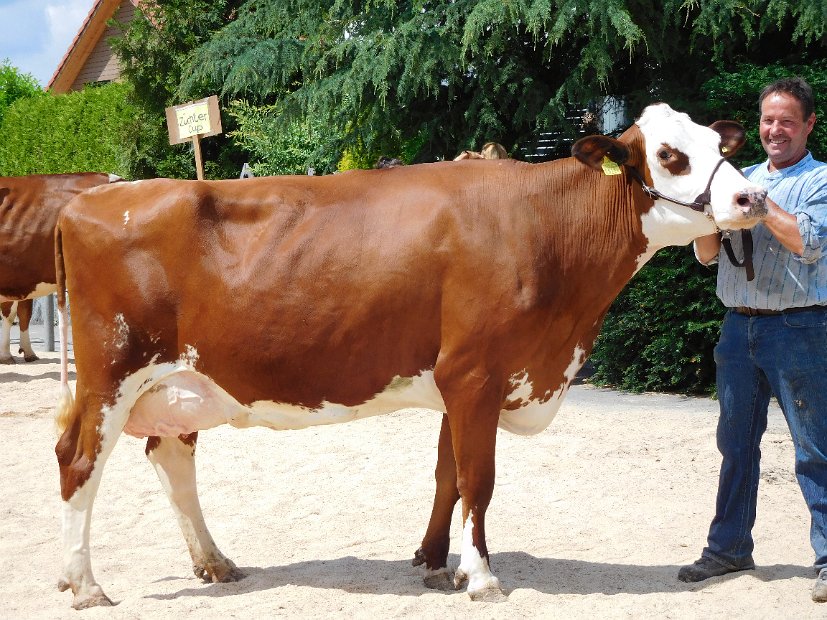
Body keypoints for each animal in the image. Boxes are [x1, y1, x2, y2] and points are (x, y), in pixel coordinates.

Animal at [53, 104, 768, 608]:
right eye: (671, 155)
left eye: (720, 146)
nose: (751, 198)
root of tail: (91, 198)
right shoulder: (476, 373)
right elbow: (479, 479)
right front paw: (480, 576)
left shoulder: (457, 378)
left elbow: (447, 477)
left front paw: (431, 562)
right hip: (111, 374)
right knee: (78, 461)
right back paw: (85, 585)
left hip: (180, 384)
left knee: (171, 457)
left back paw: (215, 562)